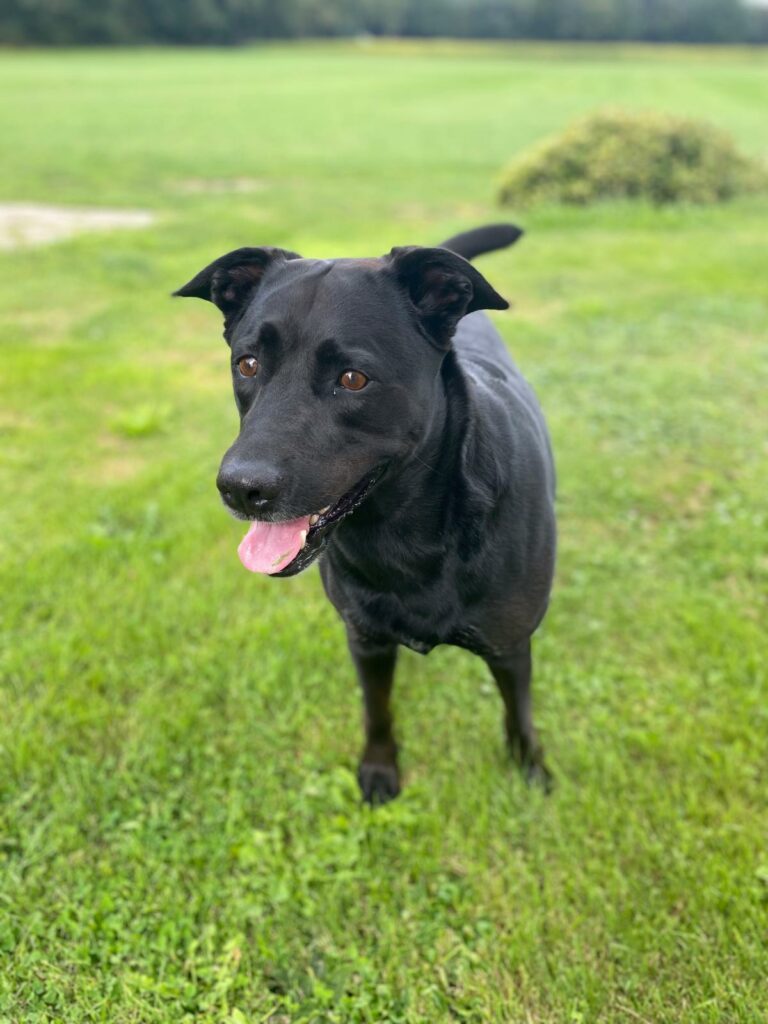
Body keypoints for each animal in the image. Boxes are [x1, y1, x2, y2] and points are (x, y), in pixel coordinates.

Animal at [177, 228, 557, 802]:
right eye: (247, 365)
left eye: (353, 378)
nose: (239, 489)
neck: (405, 534)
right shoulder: (366, 641)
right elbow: (377, 711)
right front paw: (380, 768)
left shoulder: (510, 647)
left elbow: (520, 714)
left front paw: (530, 767)